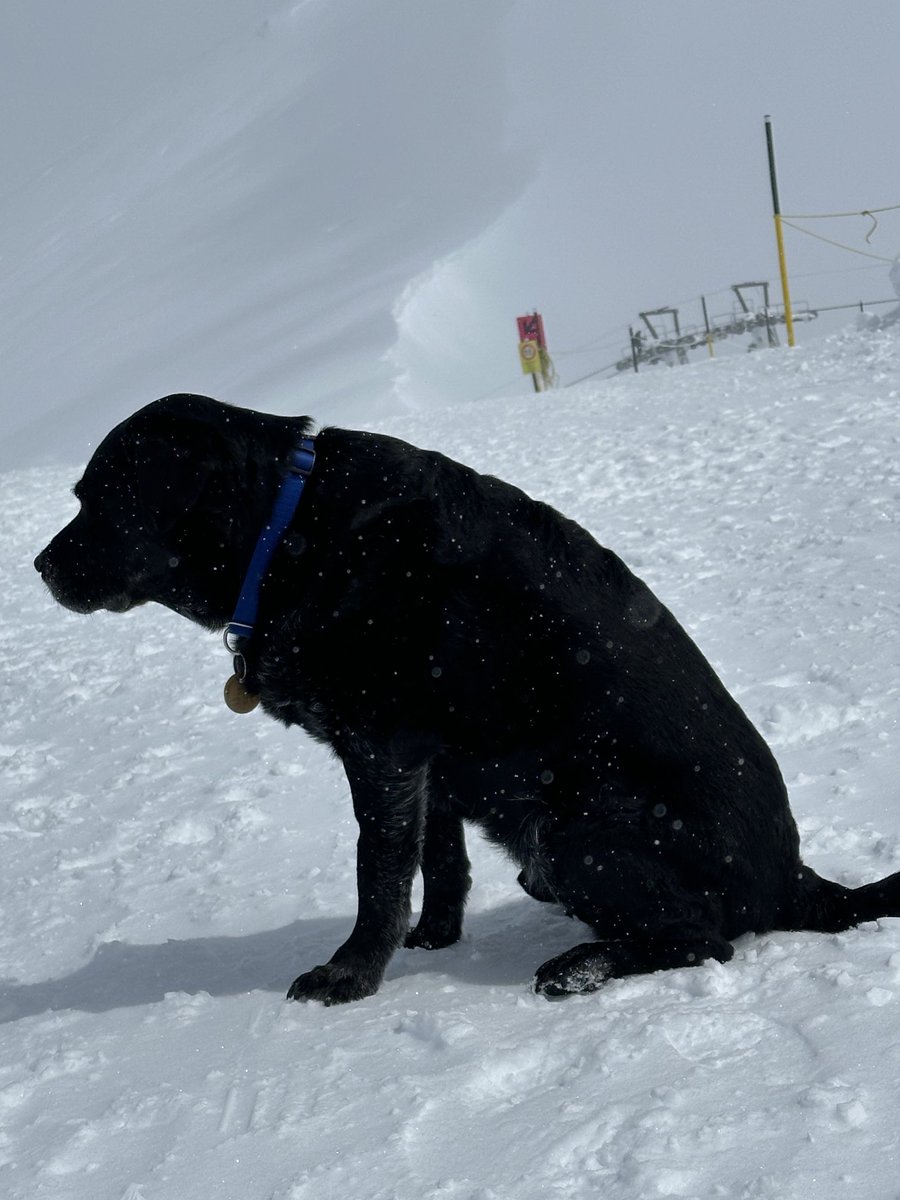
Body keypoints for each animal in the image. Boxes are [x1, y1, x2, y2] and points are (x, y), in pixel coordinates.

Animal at [33, 393, 900, 1003]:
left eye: (97, 501)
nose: (38, 566)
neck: (289, 532)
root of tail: (793, 880)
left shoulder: (381, 751)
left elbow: (379, 874)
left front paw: (350, 976)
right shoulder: (430, 760)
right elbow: (440, 859)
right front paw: (436, 937)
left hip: (578, 828)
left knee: (702, 941)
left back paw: (579, 967)